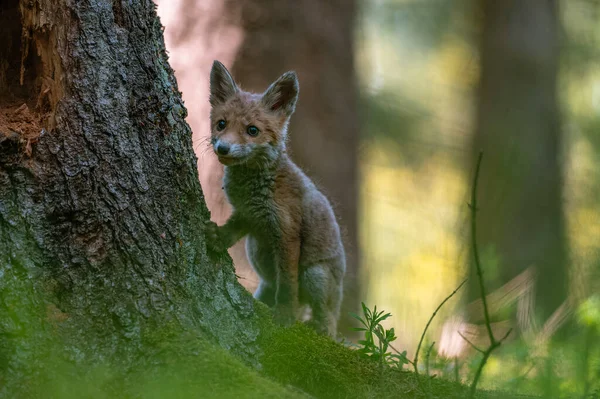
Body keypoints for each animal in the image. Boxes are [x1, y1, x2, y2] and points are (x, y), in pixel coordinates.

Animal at [204, 61, 344, 336]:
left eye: (252, 130)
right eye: (221, 124)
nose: (223, 148)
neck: (254, 189)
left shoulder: (287, 232)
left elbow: (288, 283)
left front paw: (285, 314)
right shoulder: (248, 215)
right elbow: (232, 231)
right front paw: (218, 238)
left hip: (314, 275)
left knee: (330, 323)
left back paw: (318, 328)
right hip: (266, 282)